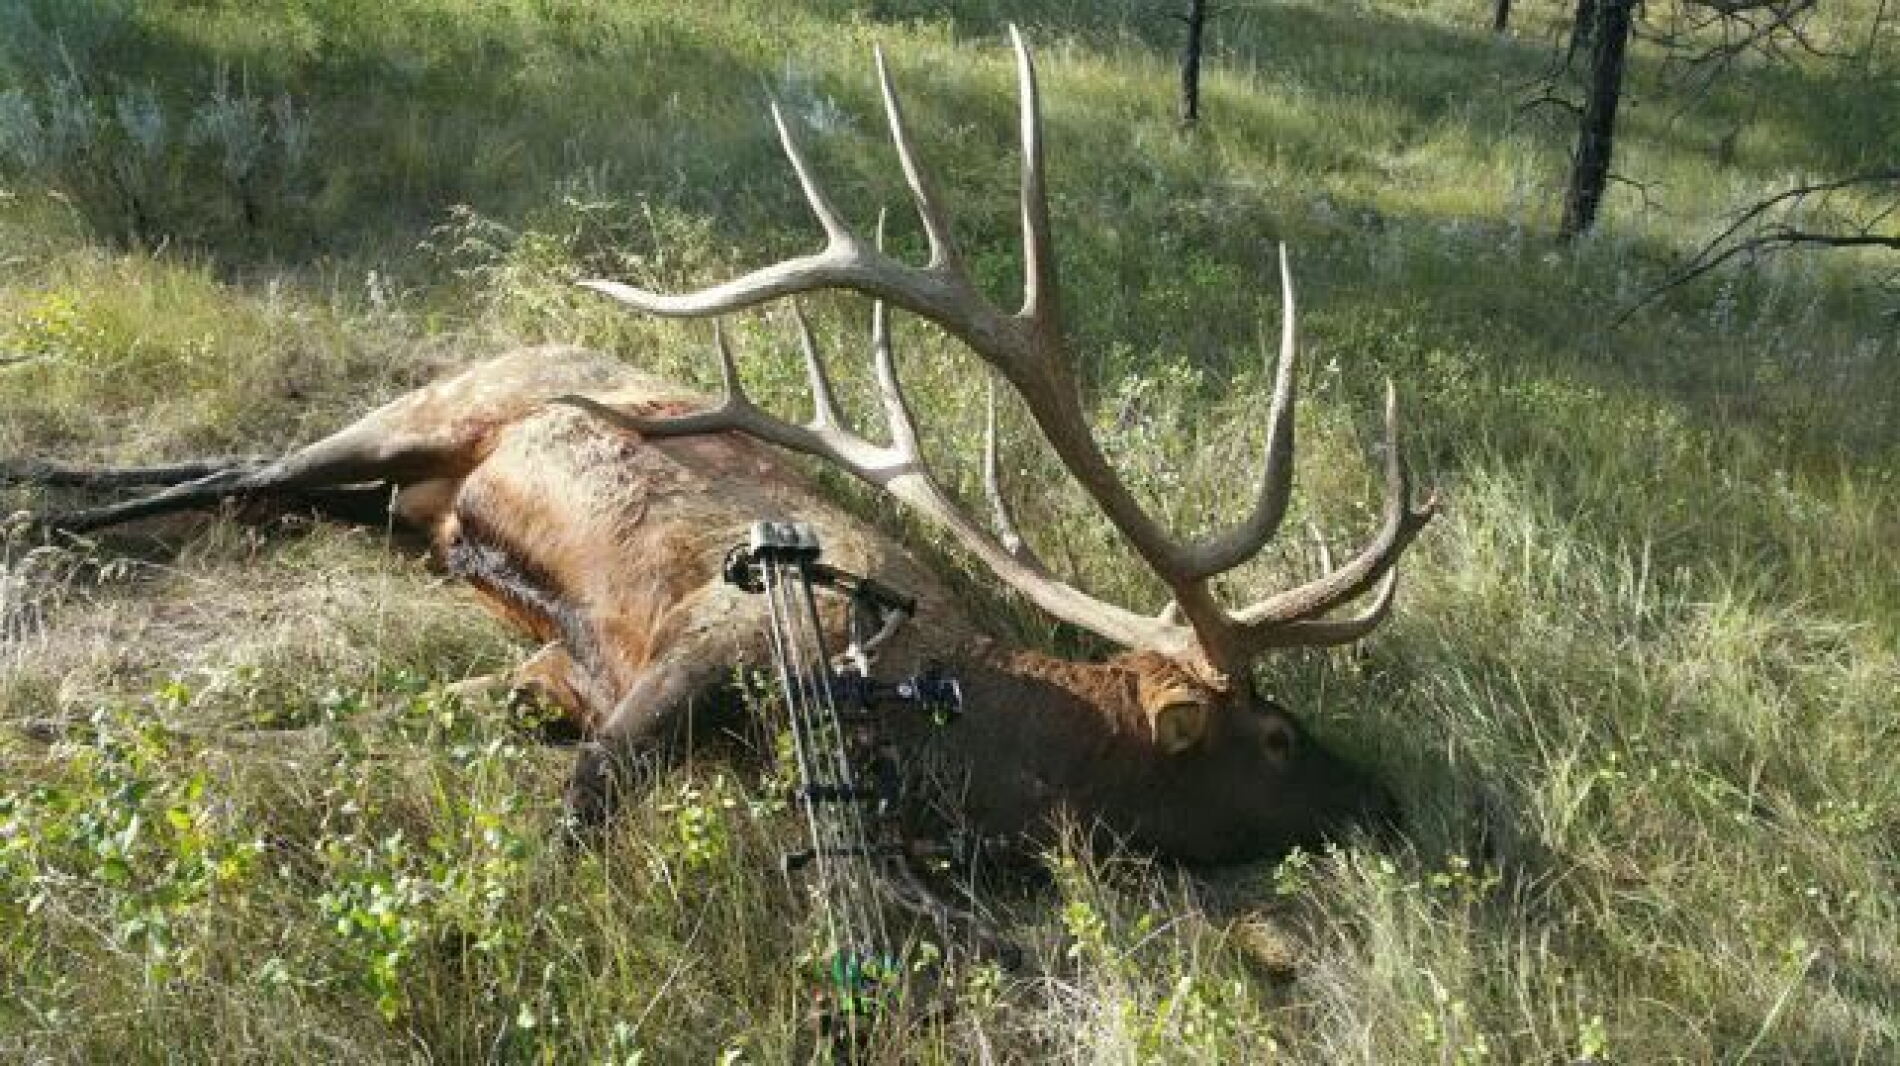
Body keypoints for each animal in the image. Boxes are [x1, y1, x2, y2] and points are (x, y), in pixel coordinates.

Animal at [3, 31, 1435, 866]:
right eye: (1278, 738)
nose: (1390, 797)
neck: (940, 715)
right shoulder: (697, 649)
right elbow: (576, 815)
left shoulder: (556, 673)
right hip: (434, 408)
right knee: (239, 469)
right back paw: (42, 512)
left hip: (410, 501)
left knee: (250, 485)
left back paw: (38, 488)